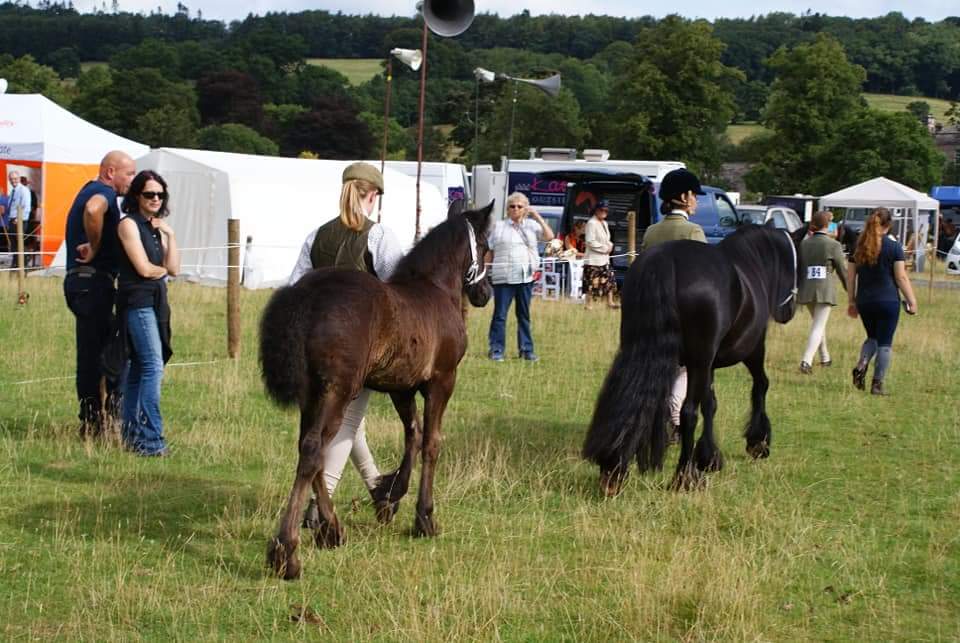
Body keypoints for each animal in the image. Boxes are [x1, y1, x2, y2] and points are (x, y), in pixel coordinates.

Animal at [258, 201, 492, 580]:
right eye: (485, 246)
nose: (485, 294)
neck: (435, 289)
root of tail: (307, 295)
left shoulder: (401, 387)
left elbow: (412, 434)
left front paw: (390, 494)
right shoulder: (442, 380)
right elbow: (431, 442)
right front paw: (424, 517)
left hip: (313, 394)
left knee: (311, 448)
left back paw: (331, 529)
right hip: (338, 390)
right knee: (313, 450)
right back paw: (287, 552)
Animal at [584, 224, 804, 490]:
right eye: (797, 264)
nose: (789, 312)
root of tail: (666, 259)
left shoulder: (709, 365)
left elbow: (710, 403)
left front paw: (709, 457)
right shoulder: (751, 350)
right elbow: (760, 385)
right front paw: (758, 442)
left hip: (640, 350)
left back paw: (614, 468)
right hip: (700, 361)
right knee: (688, 412)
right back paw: (684, 476)